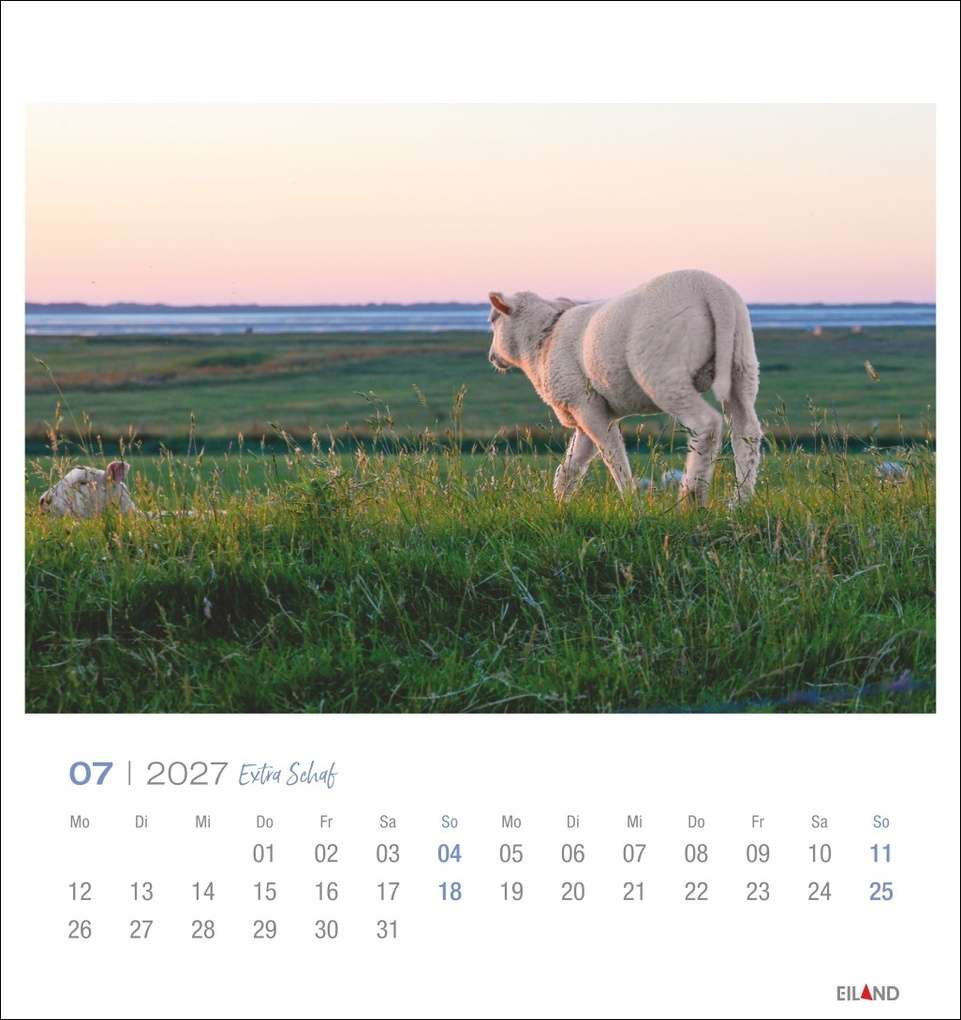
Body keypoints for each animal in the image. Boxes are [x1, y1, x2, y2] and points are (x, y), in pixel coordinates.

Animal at [488, 269, 762, 505]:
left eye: (492, 320)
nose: (492, 357)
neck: (543, 341)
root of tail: (712, 290)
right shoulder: (586, 413)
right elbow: (570, 467)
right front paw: (560, 504)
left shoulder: (585, 406)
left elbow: (613, 456)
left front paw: (632, 502)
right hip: (742, 363)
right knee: (746, 432)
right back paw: (740, 502)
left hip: (664, 370)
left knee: (706, 424)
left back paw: (692, 500)